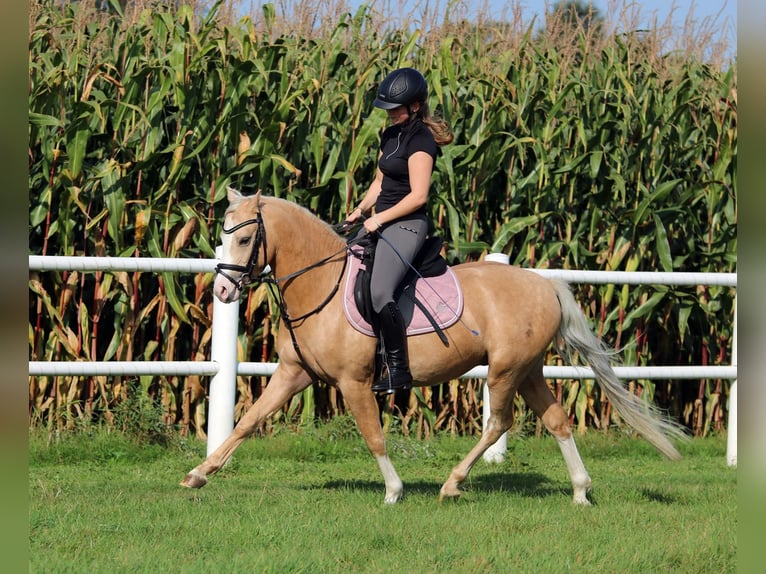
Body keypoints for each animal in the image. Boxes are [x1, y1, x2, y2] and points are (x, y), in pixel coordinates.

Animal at [181, 187, 684, 504]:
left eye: (247, 237)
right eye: (223, 235)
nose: (222, 291)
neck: (320, 283)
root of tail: (544, 283)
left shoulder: (354, 382)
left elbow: (373, 435)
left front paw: (393, 491)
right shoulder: (293, 373)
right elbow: (247, 422)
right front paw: (198, 475)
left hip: (505, 371)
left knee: (499, 422)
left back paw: (452, 484)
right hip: (528, 370)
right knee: (557, 420)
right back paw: (580, 490)